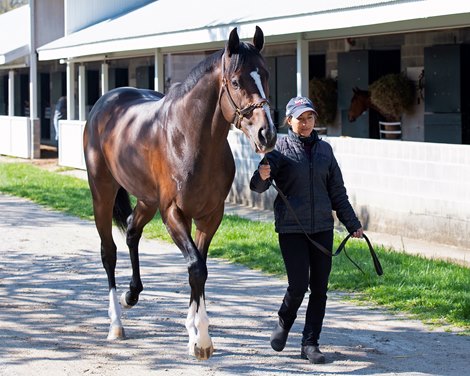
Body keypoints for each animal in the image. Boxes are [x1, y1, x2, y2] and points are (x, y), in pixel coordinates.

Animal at [83, 25, 278, 360]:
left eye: (265, 75)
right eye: (236, 81)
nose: (267, 134)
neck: (189, 138)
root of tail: (106, 102)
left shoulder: (210, 215)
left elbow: (201, 267)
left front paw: (196, 333)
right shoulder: (174, 213)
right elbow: (195, 266)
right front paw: (200, 340)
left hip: (146, 200)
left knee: (132, 231)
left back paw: (131, 294)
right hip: (102, 194)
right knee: (108, 252)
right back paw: (116, 324)